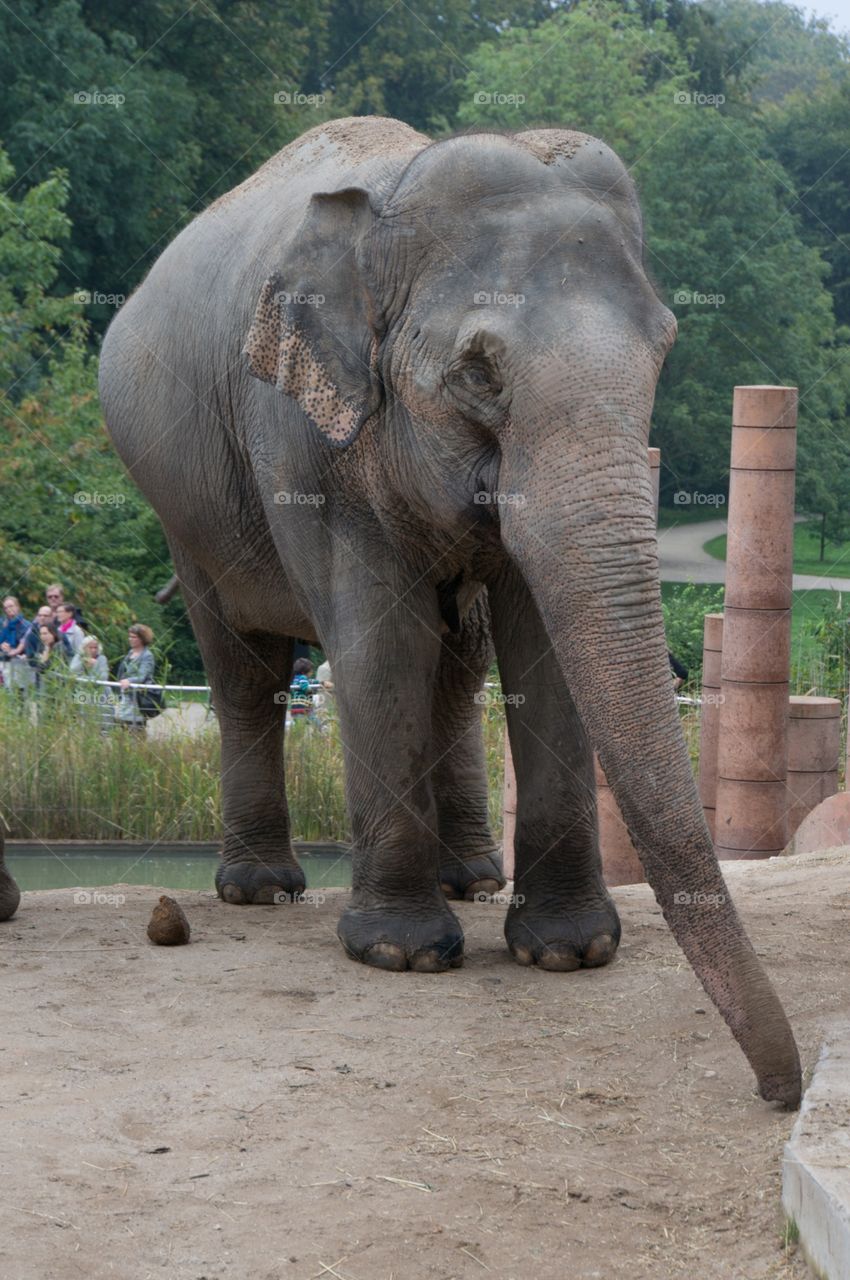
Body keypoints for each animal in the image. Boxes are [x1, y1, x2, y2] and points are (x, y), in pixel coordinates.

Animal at [99, 116, 801, 1107]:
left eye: (663, 352)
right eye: (477, 372)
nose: (781, 1092)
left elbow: (537, 644)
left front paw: (569, 951)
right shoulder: (301, 436)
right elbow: (381, 643)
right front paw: (401, 955)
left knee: (456, 664)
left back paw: (470, 878)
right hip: (180, 504)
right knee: (245, 672)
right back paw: (262, 890)